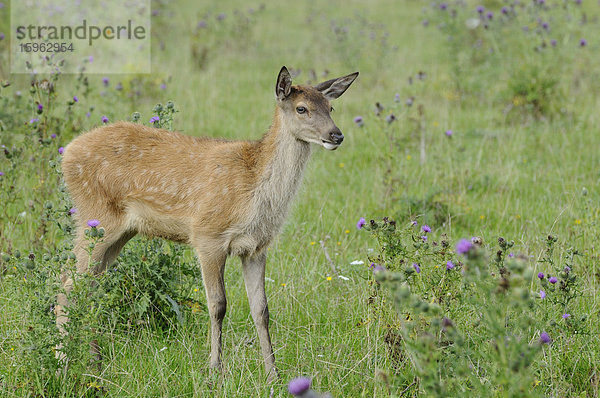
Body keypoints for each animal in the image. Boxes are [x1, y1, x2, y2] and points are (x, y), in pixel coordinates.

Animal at [55, 67, 356, 380]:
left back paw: (95, 365)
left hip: (121, 232)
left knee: (90, 288)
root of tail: (67, 152)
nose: (336, 135)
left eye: (330, 107)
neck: (254, 191)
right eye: (301, 108)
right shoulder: (208, 235)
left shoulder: (256, 247)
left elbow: (261, 309)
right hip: (95, 216)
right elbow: (218, 305)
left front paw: (273, 374)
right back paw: (62, 366)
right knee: (67, 286)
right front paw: (215, 370)